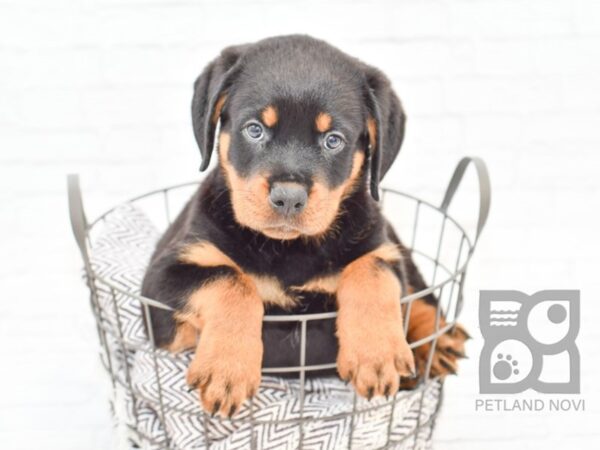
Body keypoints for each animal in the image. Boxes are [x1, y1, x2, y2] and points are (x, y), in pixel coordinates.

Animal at [142, 35, 468, 418]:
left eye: (333, 140)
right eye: (255, 129)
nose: (288, 198)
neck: (289, 249)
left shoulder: (380, 246)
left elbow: (371, 269)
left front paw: (377, 354)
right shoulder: (161, 291)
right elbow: (230, 279)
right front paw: (226, 368)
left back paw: (439, 340)